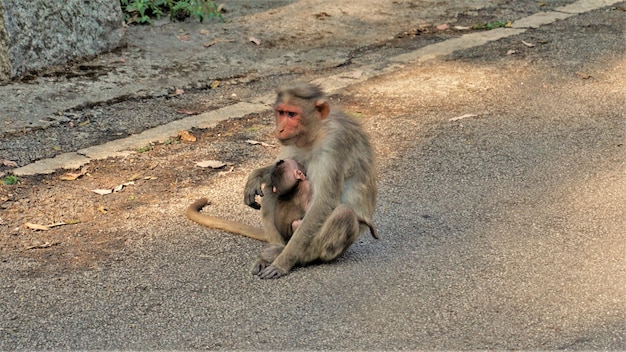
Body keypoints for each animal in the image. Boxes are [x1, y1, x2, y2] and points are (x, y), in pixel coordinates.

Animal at [245, 84, 376, 280]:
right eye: (281, 112)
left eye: (292, 114)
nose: (280, 129)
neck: (316, 133)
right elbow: (280, 168)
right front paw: (257, 175)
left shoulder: (334, 143)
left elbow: (322, 202)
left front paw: (283, 262)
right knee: (270, 187)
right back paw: (274, 249)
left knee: (344, 213)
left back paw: (288, 255)